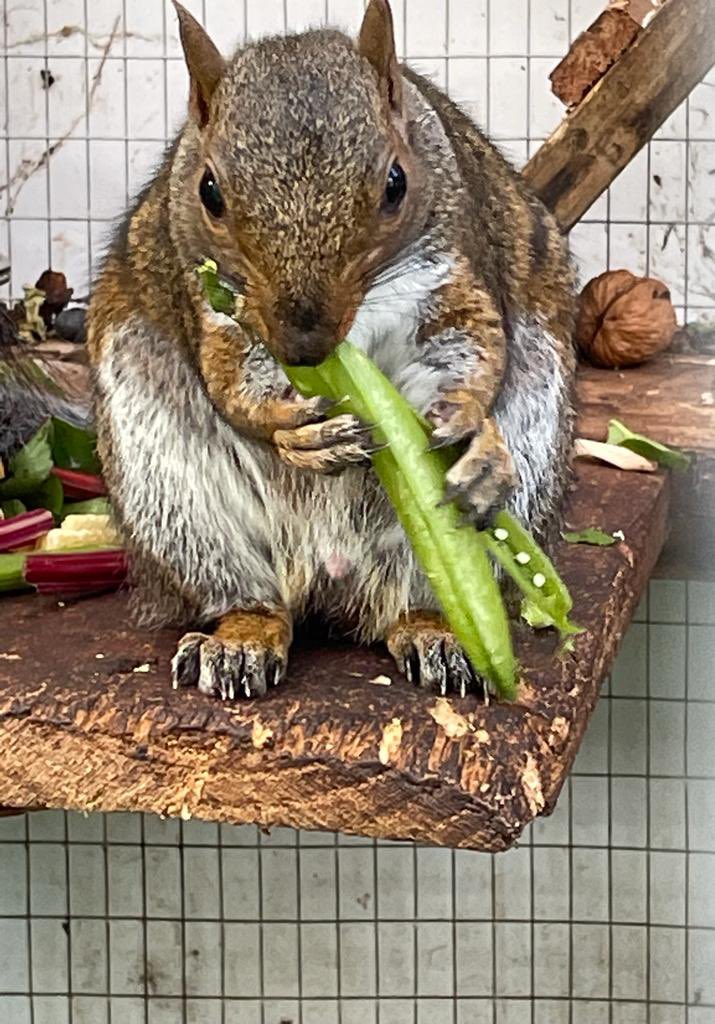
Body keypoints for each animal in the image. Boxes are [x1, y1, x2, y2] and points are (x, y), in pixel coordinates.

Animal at [84, 0, 577, 699]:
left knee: (416, 600)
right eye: (208, 191)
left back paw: (439, 632)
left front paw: (471, 433)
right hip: (169, 491)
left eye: (396, 183)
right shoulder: (209, 301)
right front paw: (296, 433)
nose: (305, 346)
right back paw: (240, 641)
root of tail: (330, 577)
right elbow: (230, 381)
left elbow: (474, 344)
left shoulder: (454, 270)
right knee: (250, 596)